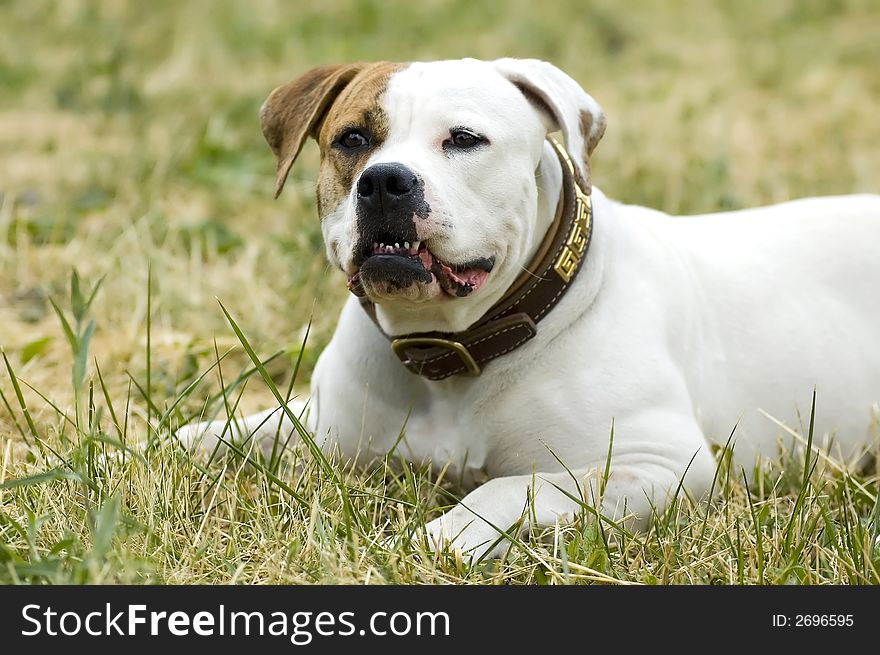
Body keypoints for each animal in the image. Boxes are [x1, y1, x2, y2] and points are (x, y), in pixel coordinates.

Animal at [179, 59, 880, 560]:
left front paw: (439, 538)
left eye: (464, 139)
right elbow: (228, 434)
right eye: (352, 139)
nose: (385, 180)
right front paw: (165, 443)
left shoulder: (658, 463)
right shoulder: (324, 425)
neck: (455, 348)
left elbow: (514, 485)